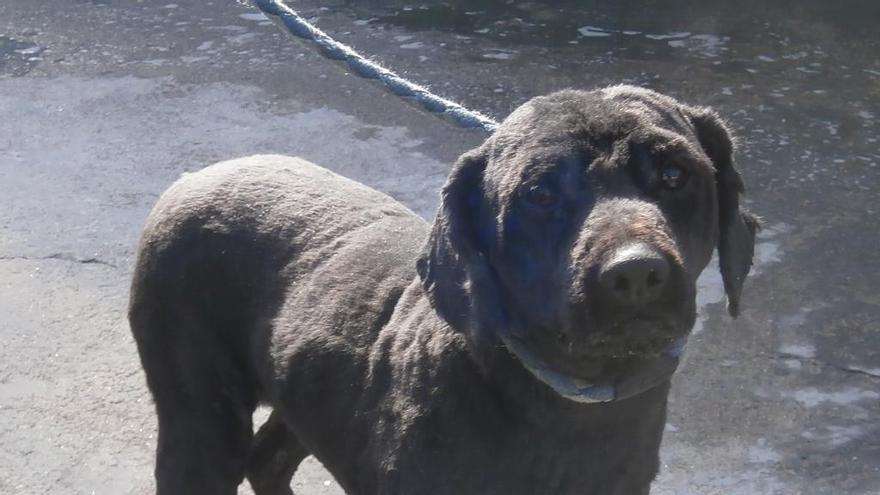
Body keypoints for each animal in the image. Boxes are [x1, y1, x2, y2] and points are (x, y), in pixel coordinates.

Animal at [129, 84, 756, 492]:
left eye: (675, 174)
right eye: (540, 193)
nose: (635, 273)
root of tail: (193, 178)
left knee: (268, 461)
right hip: (199, 425)